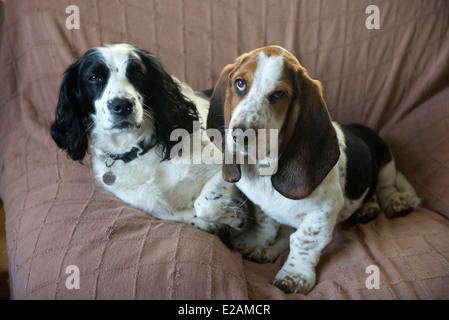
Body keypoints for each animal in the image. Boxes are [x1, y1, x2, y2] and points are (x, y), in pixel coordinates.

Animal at [206, 45, 420, 296]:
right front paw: (258, 242)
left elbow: (303, 240)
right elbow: (267, 223)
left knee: (386, 187)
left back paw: (393, 203)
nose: (241, 134)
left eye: (279, 94)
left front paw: (293, 276)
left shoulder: (323, 211)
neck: (266, 167)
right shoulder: (263, 208)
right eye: (240, 83)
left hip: (386, 158)